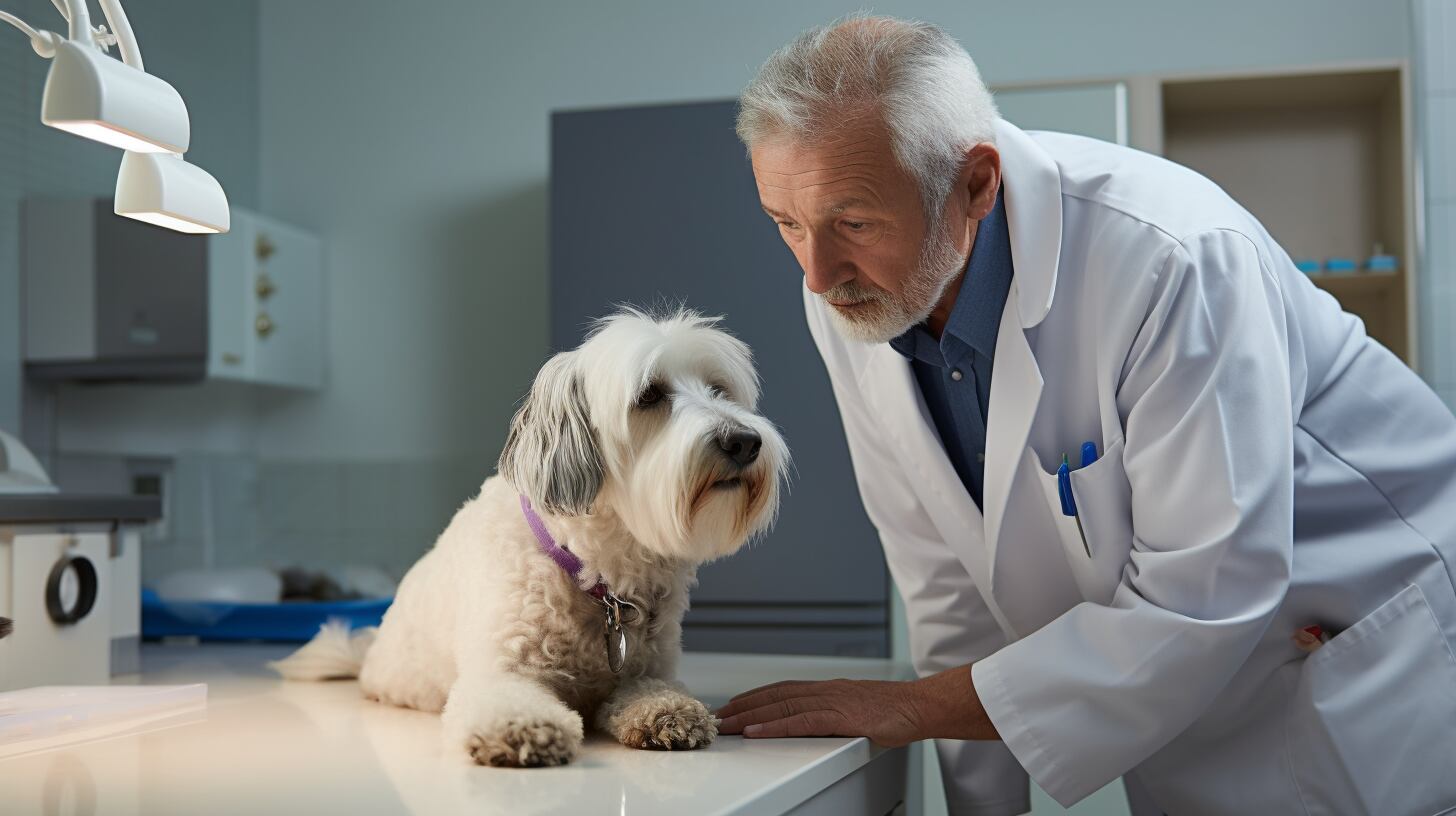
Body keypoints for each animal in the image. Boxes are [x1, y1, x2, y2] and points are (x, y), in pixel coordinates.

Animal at [267, 308, 792, 769]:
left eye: (719, 389)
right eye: (649, 395)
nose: (745, 441)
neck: (594, 573)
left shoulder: (645, 672)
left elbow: (654, 693)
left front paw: (665, 712)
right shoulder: (500, 671)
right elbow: (508, 701)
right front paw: (523, 729)